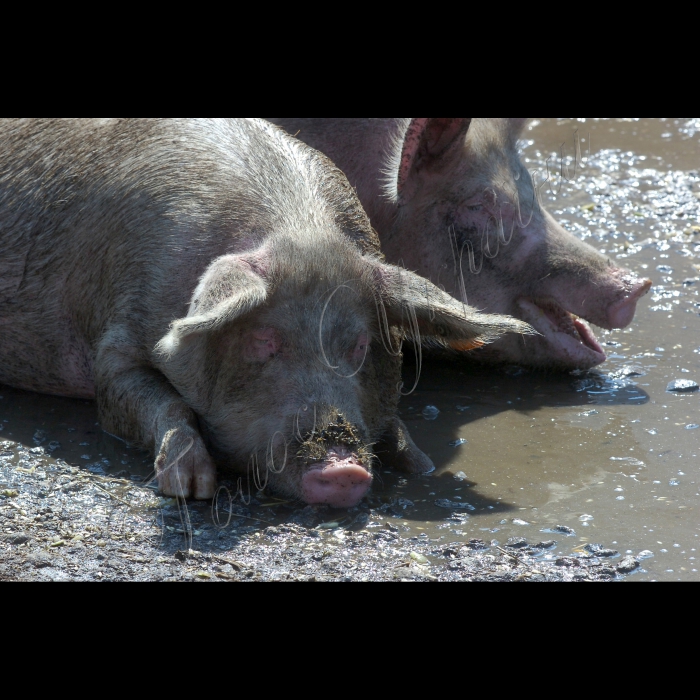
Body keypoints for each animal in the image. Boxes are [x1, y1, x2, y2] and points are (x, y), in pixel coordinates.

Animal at [0, 117, 532, 506]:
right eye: (263, 341)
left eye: (359, 345)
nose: (344, 468)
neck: (297, 227)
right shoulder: (113, 336)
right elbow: (147, 399)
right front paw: (191, 489)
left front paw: (421, 465)